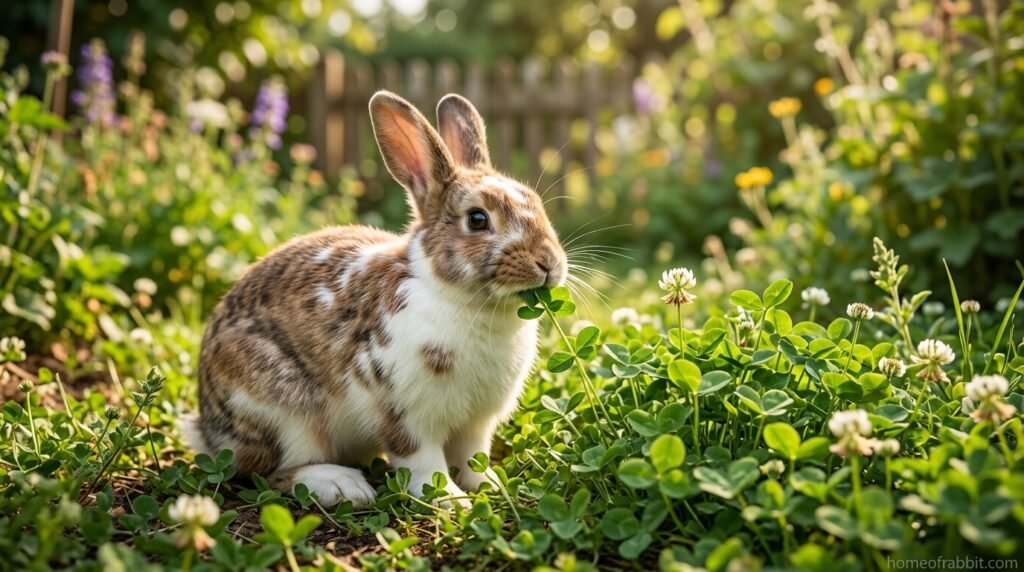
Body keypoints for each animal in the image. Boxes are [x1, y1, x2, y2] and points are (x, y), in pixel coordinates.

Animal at [181, 90, 568, 508]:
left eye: (537, 204)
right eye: (478, 219)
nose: (549, 263)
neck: (461, 299)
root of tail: (210, 430)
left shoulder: (476, 424)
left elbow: (471, 458)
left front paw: (489, 486)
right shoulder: (406, 412)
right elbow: (422, 462)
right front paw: (449, 499)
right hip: (281, 413)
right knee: (272, 472)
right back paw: (343, 485)